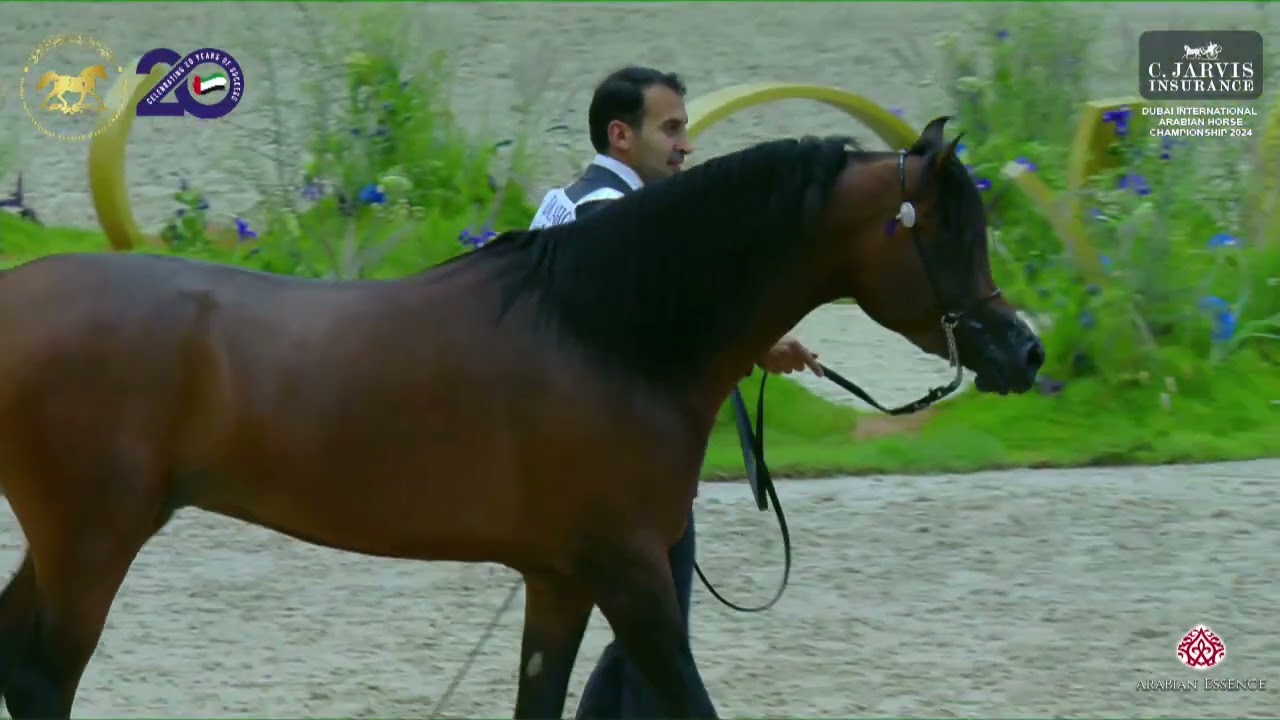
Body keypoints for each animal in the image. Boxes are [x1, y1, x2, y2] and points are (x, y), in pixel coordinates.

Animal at [0, 115, 1042, 719]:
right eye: (948, 229)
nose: (1024, 351)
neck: (605, 334)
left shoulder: (560, 579)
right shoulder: (629, 574)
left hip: (70, 541)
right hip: (93, 541)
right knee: (44, 680)